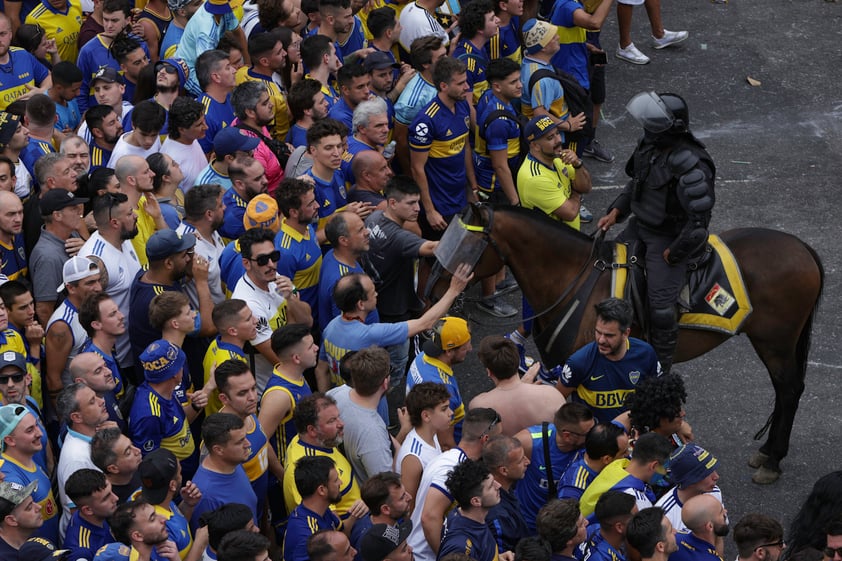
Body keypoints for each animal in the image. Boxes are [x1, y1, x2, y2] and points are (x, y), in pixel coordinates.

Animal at [440, 203, 820, 484]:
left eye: (466, 246)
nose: (434, 289)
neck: (574, 279)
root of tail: (802, 247)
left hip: (775, 342)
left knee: (789, 389)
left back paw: (772, 459)